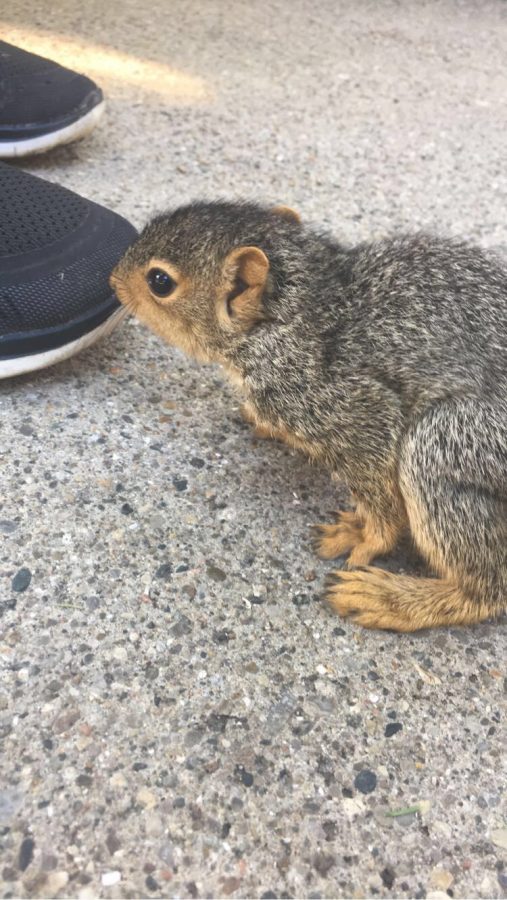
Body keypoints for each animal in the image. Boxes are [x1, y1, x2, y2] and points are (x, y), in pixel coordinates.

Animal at [112, 202, 507, 632]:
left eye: (160, 281)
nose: (112, 279)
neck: (296, 311)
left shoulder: (348, 404)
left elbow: (379, 485)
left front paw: (370, 537)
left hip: (448, 444)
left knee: (490, 588)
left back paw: (392, 599)